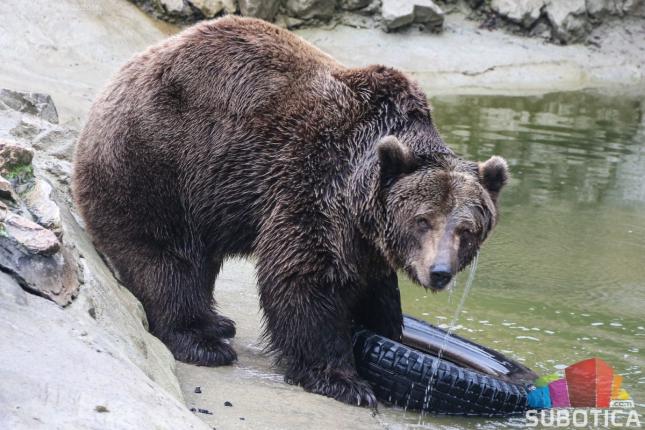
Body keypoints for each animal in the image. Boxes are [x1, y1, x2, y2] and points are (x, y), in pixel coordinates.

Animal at [73, 15, 508, 406]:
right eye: (423, 220)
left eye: (467, 229)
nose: (440, 272)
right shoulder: (315, 182)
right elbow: (307, 275)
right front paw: (344, 380)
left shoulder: (364, 231)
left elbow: (374, 284)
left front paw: (385, 329)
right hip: (160, 165)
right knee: (167, 256)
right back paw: (202, 339)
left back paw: (218, 322)